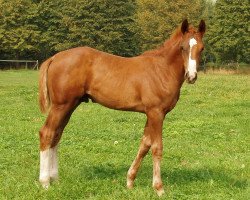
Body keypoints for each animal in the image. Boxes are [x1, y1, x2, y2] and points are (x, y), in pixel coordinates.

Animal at [38, 19, 205, 196]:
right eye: (182, 47)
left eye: (202, 48)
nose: (191, 76)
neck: (162, 69)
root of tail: (54, 57)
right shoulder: (156, 113)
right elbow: (156, 147)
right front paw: (159, 188)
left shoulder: (150, 114)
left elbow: (145, 145)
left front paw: (130, 181)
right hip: (61, 106)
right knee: (47, 133)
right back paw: (45, 182)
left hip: (70, 105)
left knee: (57, 135)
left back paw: (55, 179)